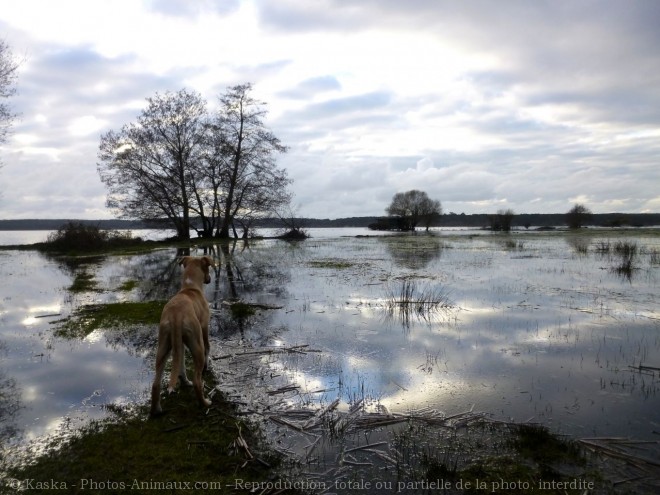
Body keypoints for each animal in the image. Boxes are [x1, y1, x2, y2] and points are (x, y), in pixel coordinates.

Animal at [150, 254, 214, 416]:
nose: (209, 279)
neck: (190, 287)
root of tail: (176, 315)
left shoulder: (181, 344)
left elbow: (182, 364)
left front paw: (184, 380)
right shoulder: (204, 327)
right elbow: (208, 348)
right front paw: (207, 366)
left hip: (164, 346)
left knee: (156, 383)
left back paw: (156, 410)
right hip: (197, 344)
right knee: (198, 381)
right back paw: (205, 403)